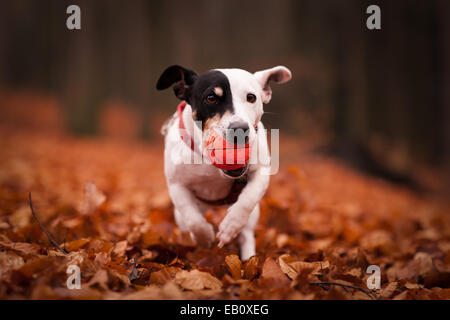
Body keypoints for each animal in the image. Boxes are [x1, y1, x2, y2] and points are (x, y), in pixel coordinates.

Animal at [157, 65, 292, 260]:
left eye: (251, 97)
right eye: (211, 98)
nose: (239, 129)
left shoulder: (261, 172)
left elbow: (247, 200)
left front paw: (230, 227)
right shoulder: (176, 184)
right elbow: (192, 218)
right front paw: (204, 237)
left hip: (254, 215)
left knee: (246, 233)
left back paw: (248, 258)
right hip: (180, 215)